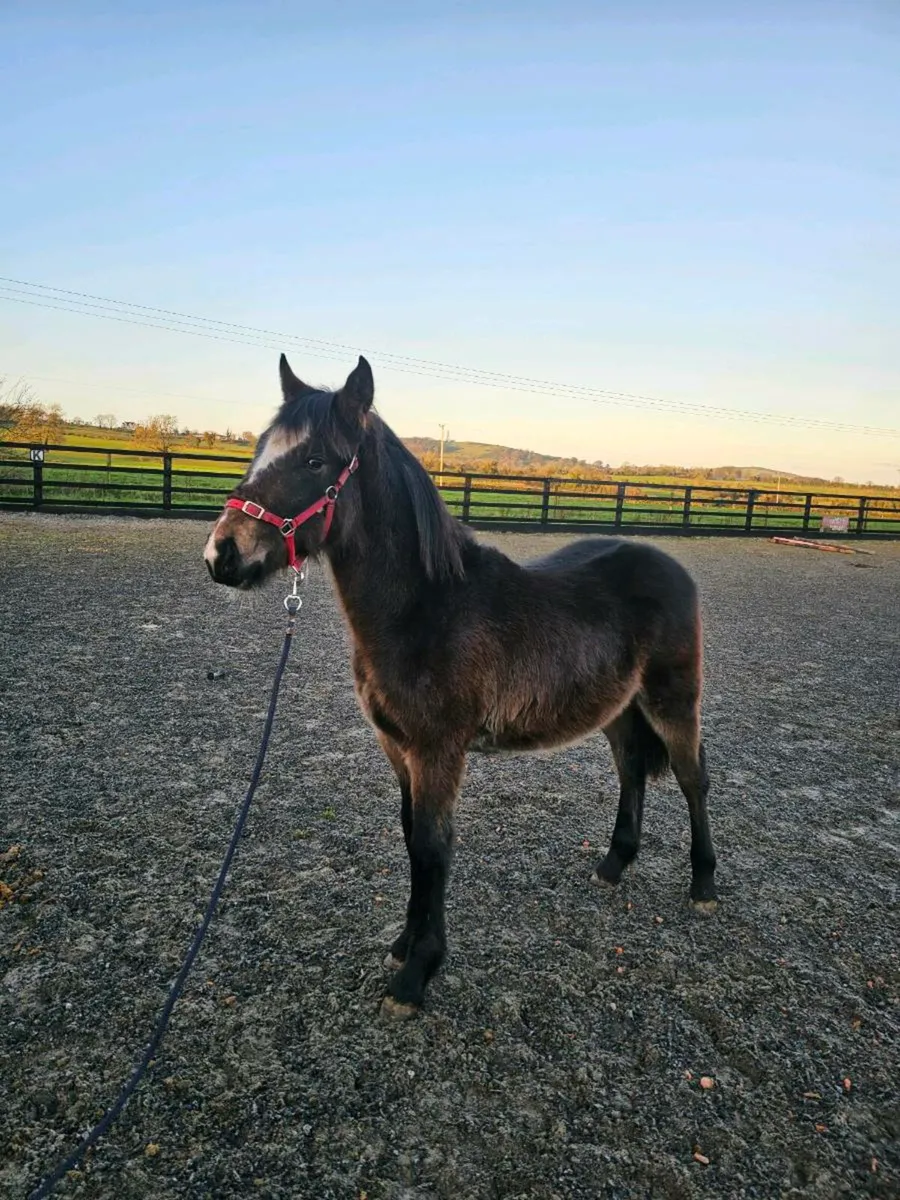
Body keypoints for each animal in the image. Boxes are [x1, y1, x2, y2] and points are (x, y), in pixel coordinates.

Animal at [204, 355, 718, 1018]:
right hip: (618, 709)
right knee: (632, 770)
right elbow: (411, 839)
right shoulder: (398, 747)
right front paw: (404, 945)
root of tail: (670, 565)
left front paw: (416, 974)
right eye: (260, 449)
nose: (223, 554)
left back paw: (703, 884)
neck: (427, 606)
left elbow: (432, 847)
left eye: (314, 461)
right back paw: (613, 864)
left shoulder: (439, 750)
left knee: (692, 779)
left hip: (673, 700)